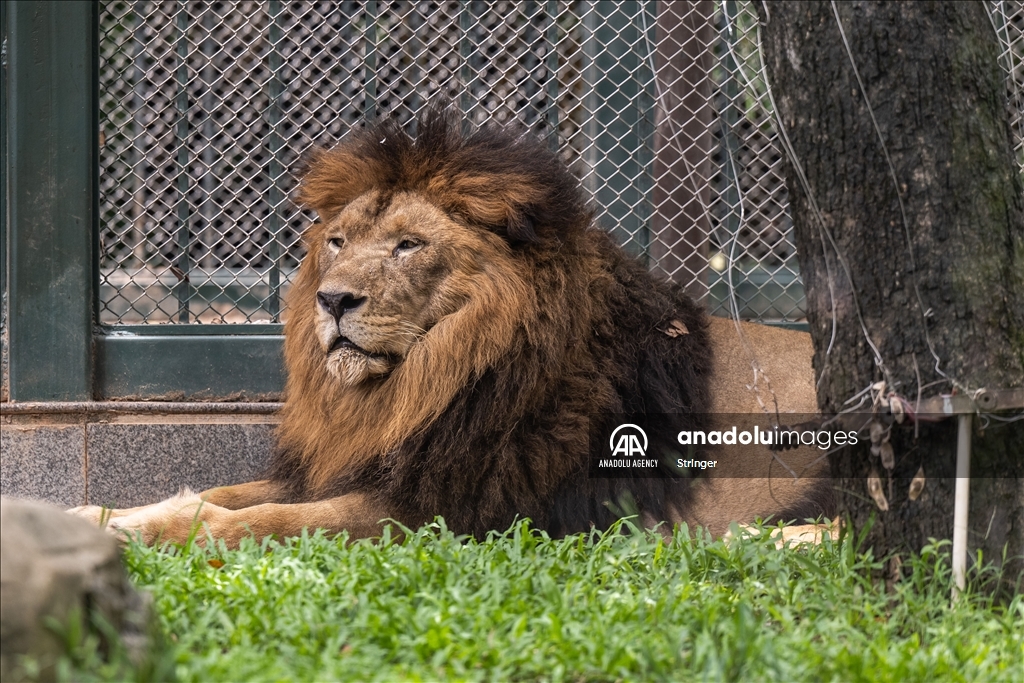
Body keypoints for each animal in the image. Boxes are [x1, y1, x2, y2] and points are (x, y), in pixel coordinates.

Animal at [72, 107, 827, 544]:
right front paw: (96, 517)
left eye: (408, 245)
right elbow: (216, 493)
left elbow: (258, 519)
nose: (333, 300)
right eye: (338, 242)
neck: (421, 384)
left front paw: (162, 534)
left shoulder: (449, 510)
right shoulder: (359, 465)